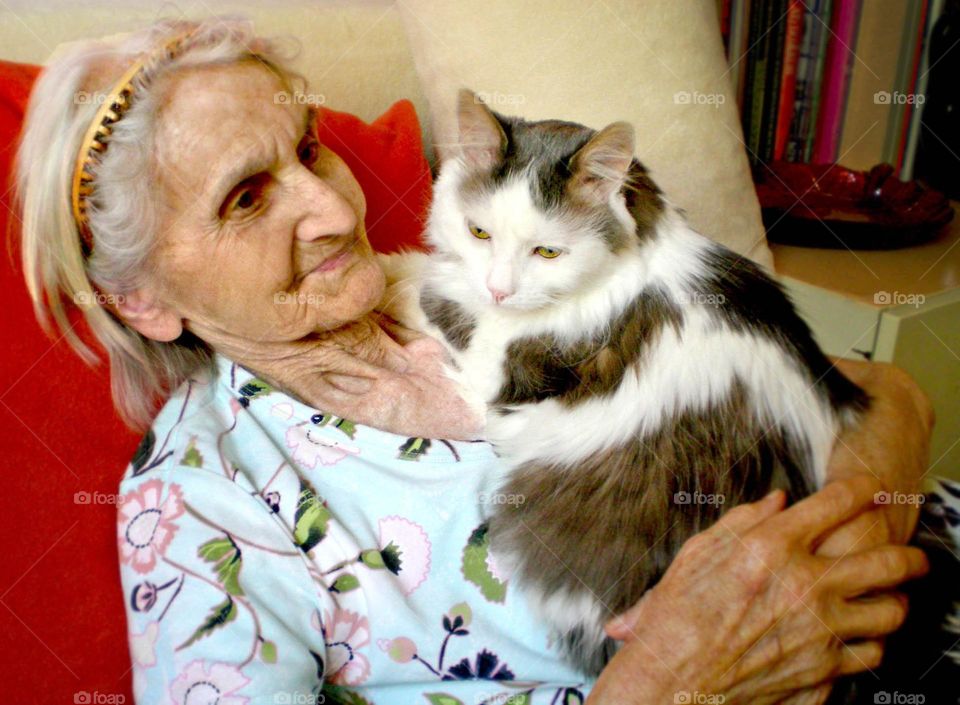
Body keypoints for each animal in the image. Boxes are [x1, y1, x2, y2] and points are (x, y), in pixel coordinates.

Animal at [382, 89, 872, 676]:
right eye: (480, 233)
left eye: (548, 252)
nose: (499, 290)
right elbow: (434, 275)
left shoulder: (501, 370)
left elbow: (432, 296)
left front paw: (381, 278)